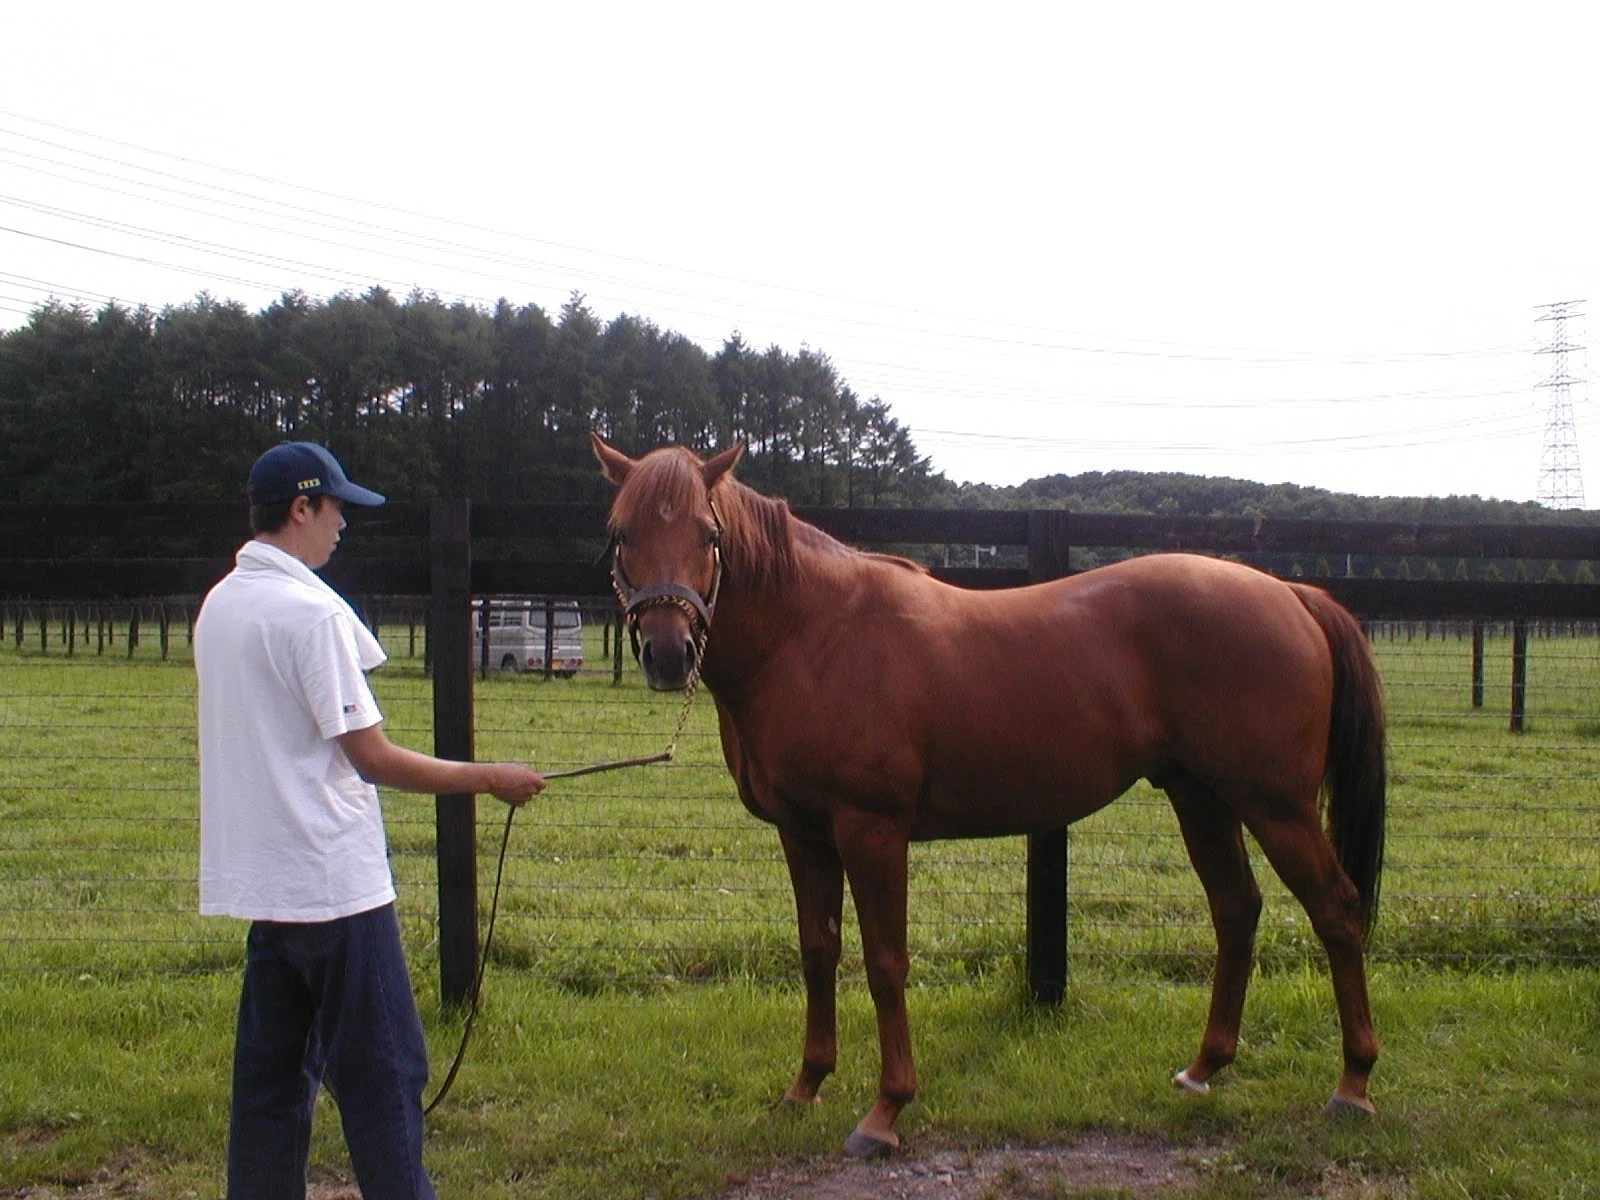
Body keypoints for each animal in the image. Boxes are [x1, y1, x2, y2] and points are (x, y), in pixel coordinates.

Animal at [591, 433, 1387, 1157]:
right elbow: (819, 952)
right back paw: (1204, 1069)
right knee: (1237, 910)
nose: (667, 652)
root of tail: (1290, 593)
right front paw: (805, 1087)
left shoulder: (871, 830)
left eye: (709, 534)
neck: (812, 634)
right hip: (1202, 797)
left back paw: (1353, 1085)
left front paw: (885, 1112)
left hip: (1276, 806)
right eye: (622, 533)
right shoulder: (805, 833)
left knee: (1336, 910)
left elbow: (885, 961)